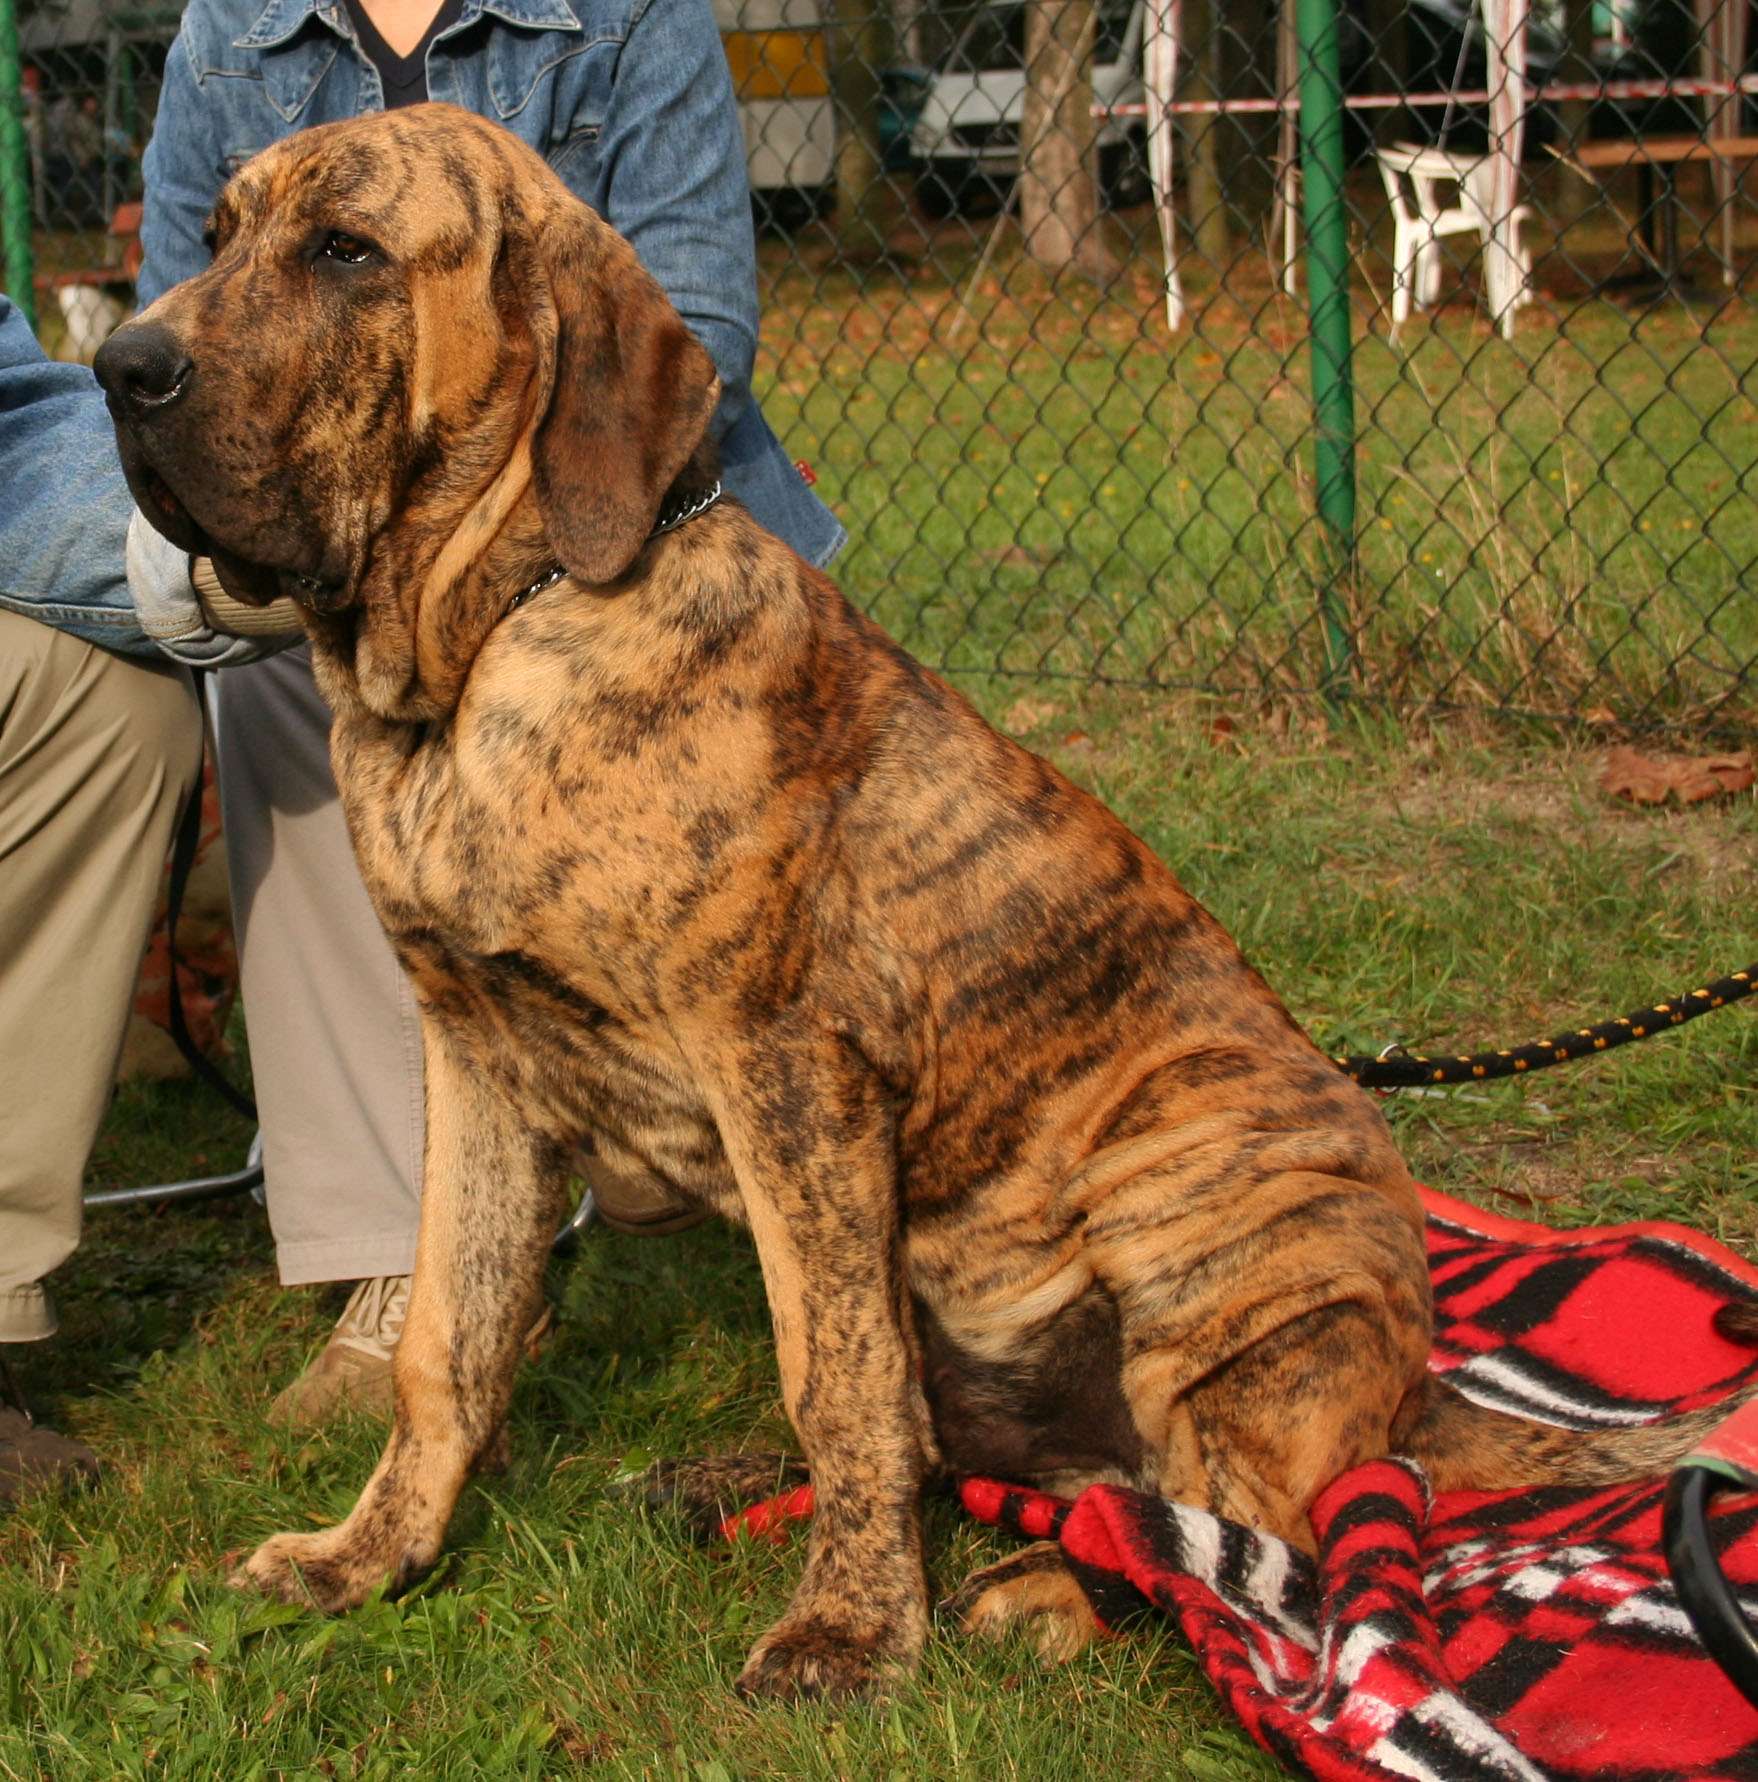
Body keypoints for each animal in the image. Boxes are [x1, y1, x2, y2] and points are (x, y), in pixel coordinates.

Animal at [99, 101, 1745, 1696]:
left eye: (347, 251)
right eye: (216, 234)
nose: (120, 368)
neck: (482, 652)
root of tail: (1412, 1372)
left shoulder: (791, 1075)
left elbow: (835, 1373)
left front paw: (849, 1628)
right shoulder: (482, 1059)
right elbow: (450, 1338)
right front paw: (365, 1557)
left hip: (1200, 1221)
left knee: (1264, 1534)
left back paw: (1054, 1588)